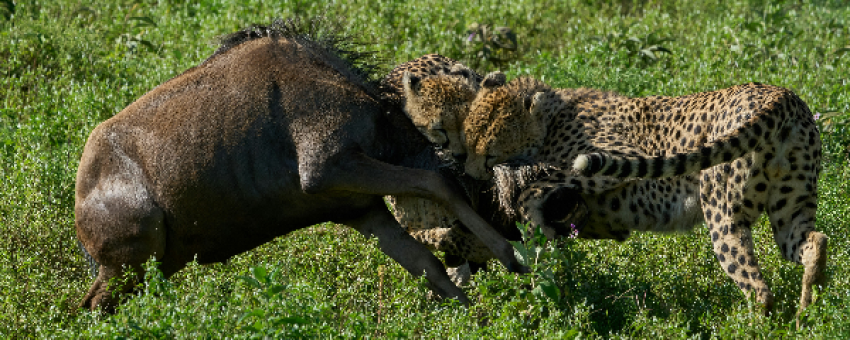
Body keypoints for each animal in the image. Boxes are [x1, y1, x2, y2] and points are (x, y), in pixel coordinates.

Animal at [420, 73, 828, 318]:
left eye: (489, 154)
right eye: (467, 143)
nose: (471, 176)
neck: (552, 115)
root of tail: (779, 94)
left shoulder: (617, 157)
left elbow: (541, 187)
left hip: (724, 217)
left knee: (759, 288)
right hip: (790, 210)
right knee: (815, 241)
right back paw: (810, 313)